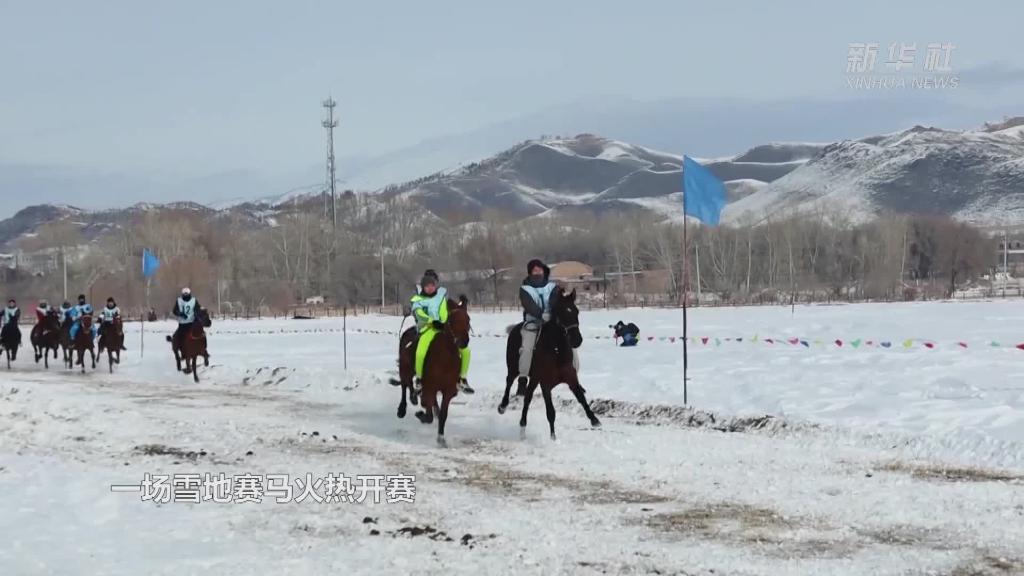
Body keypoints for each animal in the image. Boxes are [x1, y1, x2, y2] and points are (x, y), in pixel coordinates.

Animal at [501, 286, 602, 438]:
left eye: (576, 311)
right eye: (562, 312)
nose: (577, 339)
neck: (556, 350)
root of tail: (514, 329)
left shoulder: (571, 378)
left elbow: (582, 399)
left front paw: (594, 419)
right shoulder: (545, 384)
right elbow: (550, 412)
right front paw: (553, 437)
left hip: (534, 378)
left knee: (527, 397)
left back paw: (523, 426)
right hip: (514, 368)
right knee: (509, 382)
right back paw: (502, 406)